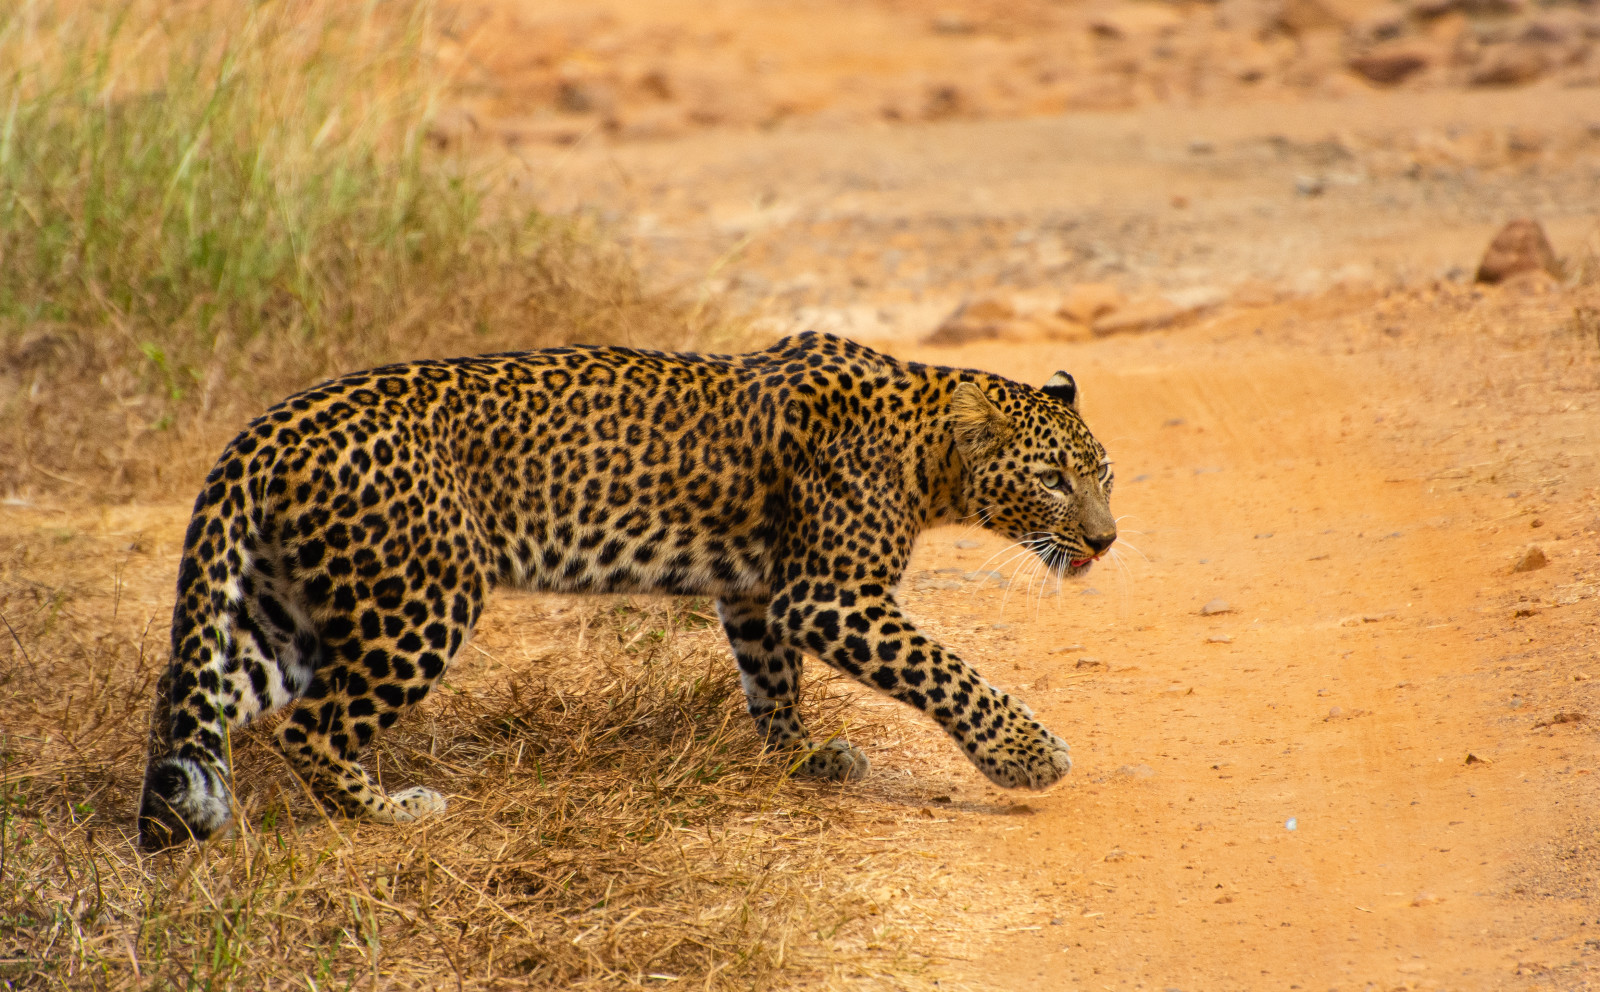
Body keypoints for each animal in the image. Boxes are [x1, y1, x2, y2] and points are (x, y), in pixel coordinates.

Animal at [134, 329, 1113, 851]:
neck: (928, 453)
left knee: (194, 690)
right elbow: (947, 672)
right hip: (420, 599)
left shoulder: (758, 597)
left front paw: (805, 758)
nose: (1104, 541)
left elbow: (773, 687)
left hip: (285, 607)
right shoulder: (830, 596)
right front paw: (1029, 757)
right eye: (1054, 480)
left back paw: (167, 824)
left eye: (1103, 475)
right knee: (312, 725)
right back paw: (393, 811)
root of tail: (266, 427)